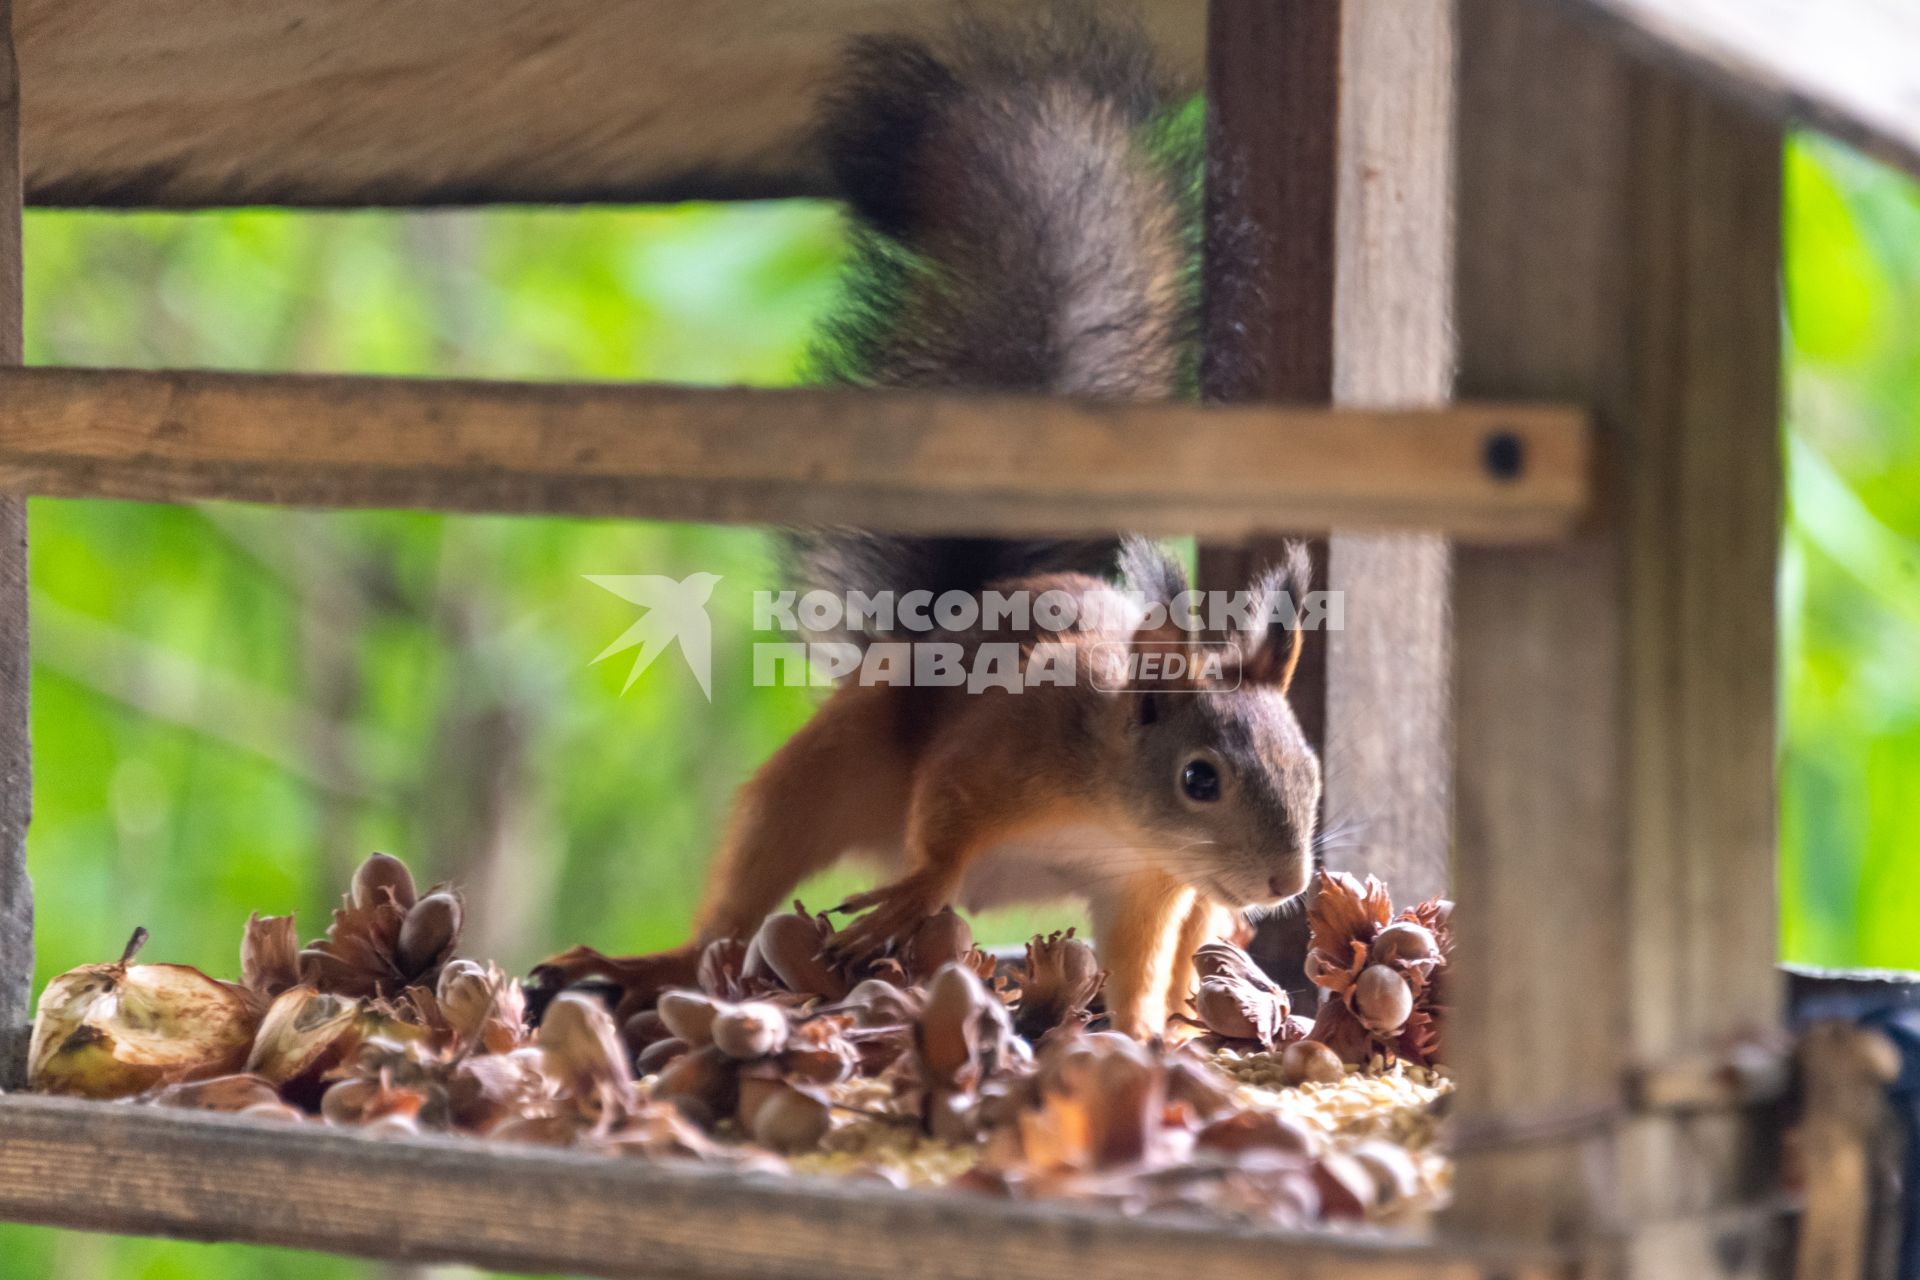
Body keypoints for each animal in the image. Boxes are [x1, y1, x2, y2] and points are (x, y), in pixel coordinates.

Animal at [683, 2, 1328, 1043]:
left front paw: (1143, 1040)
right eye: (1200, 779)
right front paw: (919, 891)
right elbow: (943, 824)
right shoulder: (998, 749)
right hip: (837, 763)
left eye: (1309, 771)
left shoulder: (1148, 884)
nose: (1282, 882)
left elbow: (1138, 966)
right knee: (759, 861)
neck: (1109, 814)